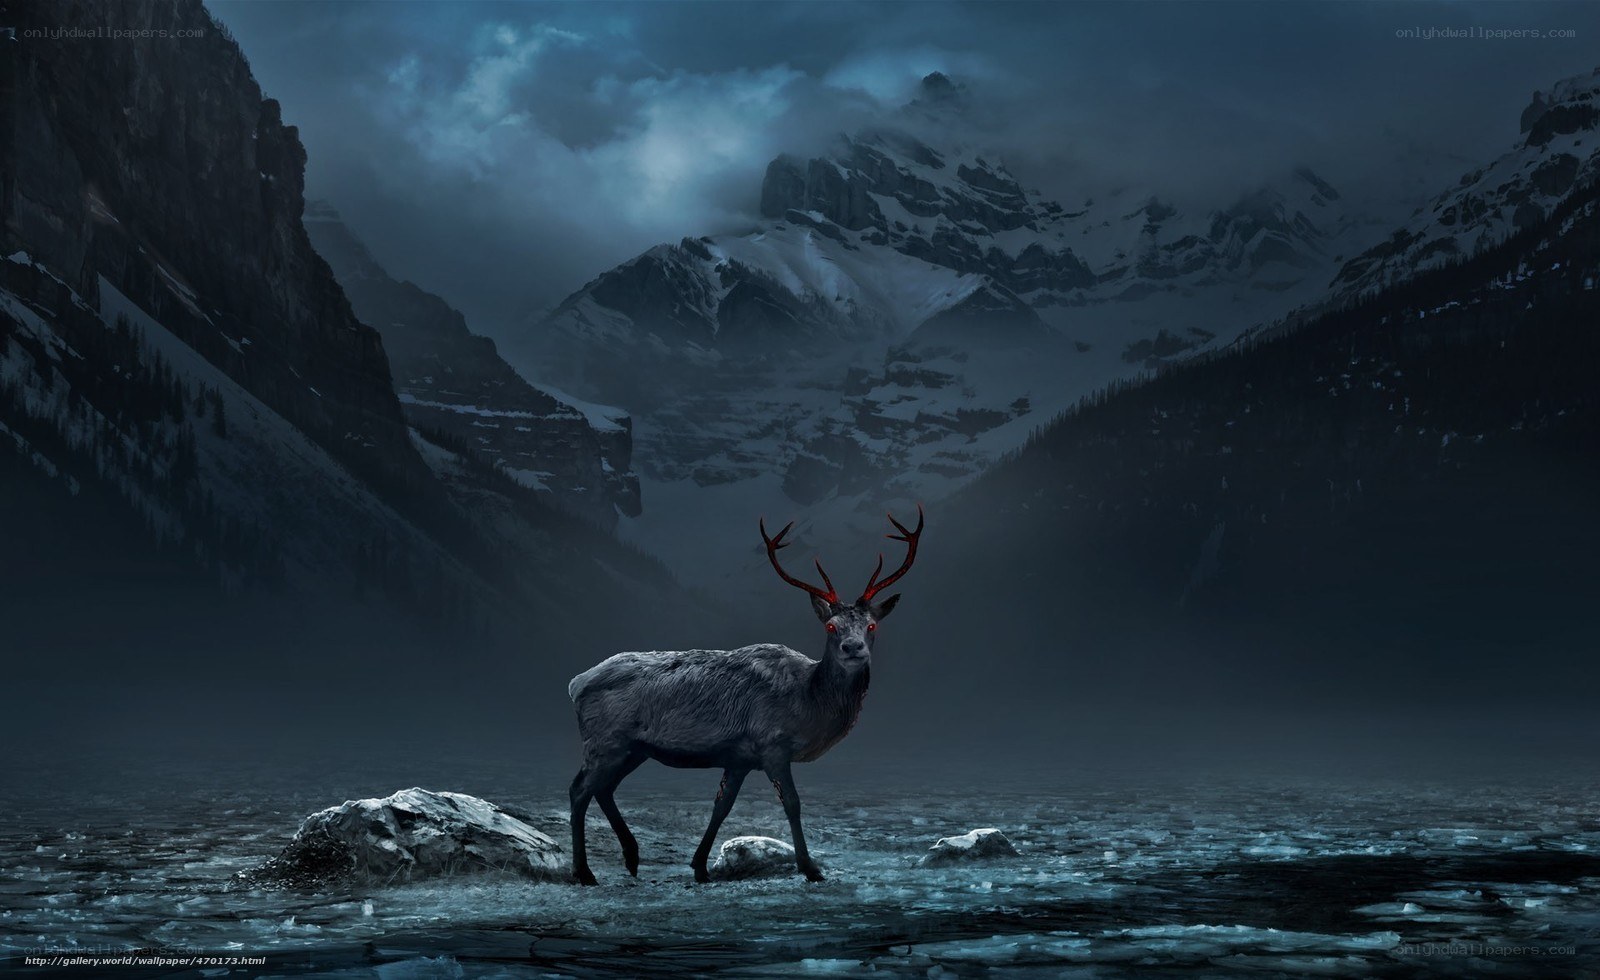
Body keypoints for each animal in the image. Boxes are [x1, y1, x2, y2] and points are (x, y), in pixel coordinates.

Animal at [566, 507, 923, 885]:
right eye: (831, 626)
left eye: (871, 625)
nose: (852, 647)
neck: (808, 702)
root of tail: (576, 684)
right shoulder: (772, 745)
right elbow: (792, 803)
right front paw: (810, 868)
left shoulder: (738, 757)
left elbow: (721, 806)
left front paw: (700, 866)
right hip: (605, 741)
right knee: (579, 790)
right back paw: (584, 872)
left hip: (634, 749)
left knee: (604, 788)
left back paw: (632, 857)